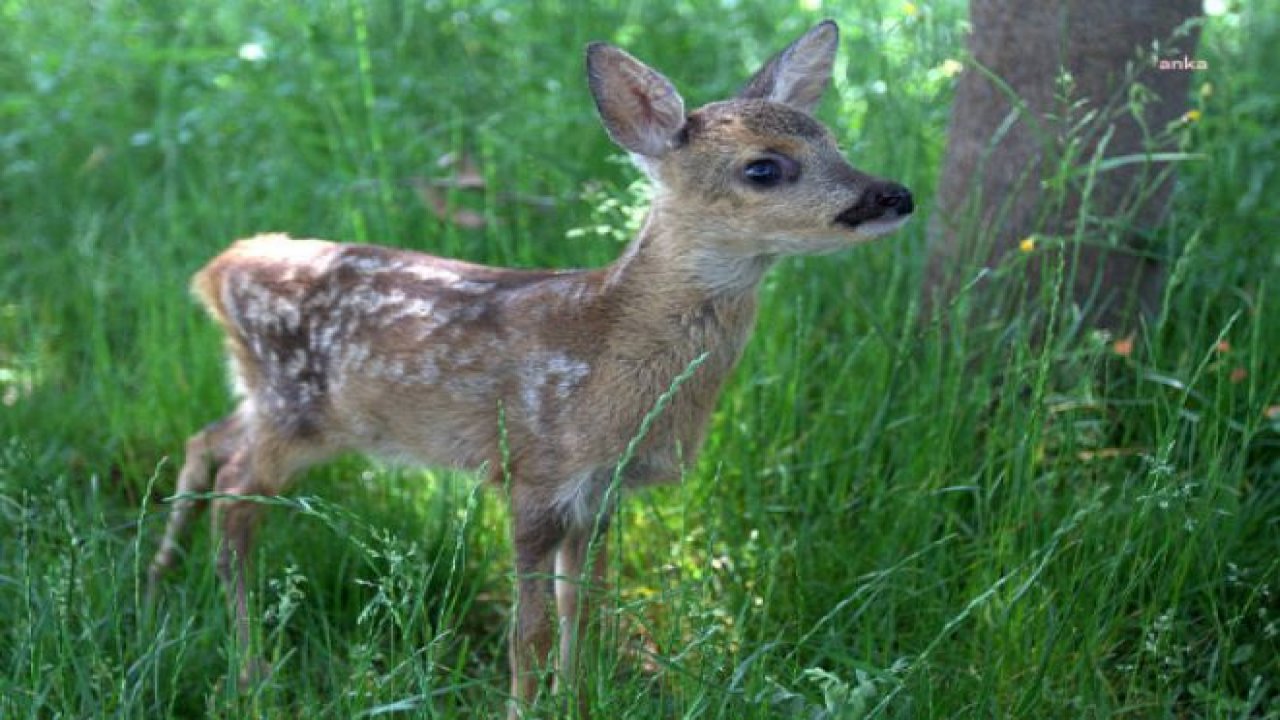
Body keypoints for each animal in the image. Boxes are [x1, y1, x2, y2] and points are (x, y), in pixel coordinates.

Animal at [147, 19, 911, 712]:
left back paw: (160, 572)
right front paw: (527, 704)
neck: (606, 355)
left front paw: (578, 698)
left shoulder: (601, 491)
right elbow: (530, 633)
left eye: (835, 142)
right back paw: (249, 668)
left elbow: (585, 613)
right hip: (294, 412)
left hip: (270, 400)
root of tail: (216, 272)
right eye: (764, 167)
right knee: (236, 500)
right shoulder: (535, 474)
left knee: (206, 440)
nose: (894, 195)